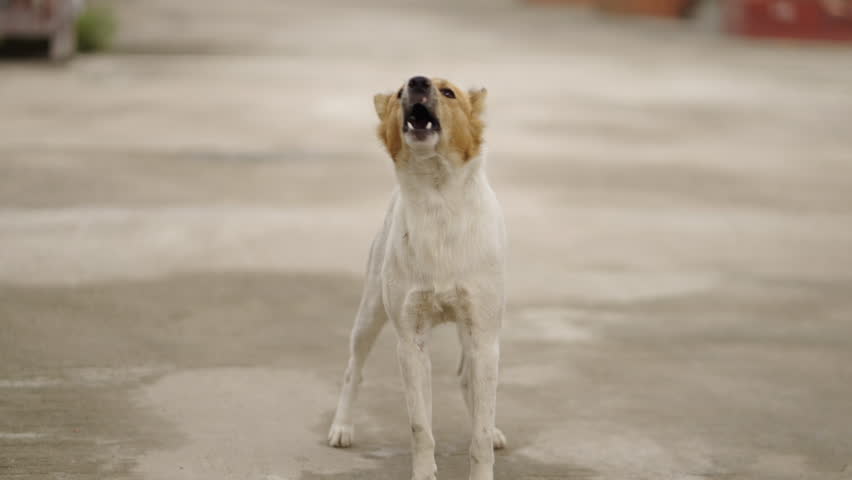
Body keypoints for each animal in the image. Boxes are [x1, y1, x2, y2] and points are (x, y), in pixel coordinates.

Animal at [328, 75, 506, 480]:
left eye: (449, 92)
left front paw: (484, 452)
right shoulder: (411, 342)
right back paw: (342, 426)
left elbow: (480, 431)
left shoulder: (484, 335)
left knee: (469, 382)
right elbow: (420, 427)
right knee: (352, 370)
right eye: (399, 93)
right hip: (370, 314)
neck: (438, 200)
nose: (417, 81)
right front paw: (424, 473)